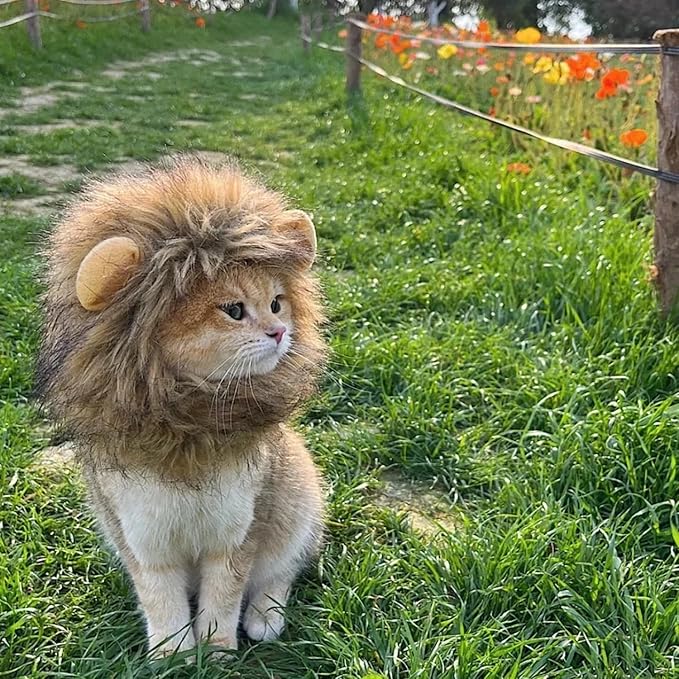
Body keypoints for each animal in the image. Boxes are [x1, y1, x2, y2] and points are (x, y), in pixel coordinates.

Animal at [36, 156, 327, 656]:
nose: (280, 333)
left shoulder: (236, 535)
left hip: (298, 511)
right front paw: (173, 654)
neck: (190, 427)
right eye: (234, 310)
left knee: (281, 574)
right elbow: (162, 601)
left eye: (277, 303)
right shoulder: (143, 542)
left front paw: (218, 650)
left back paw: (265, 619)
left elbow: (224, 597)